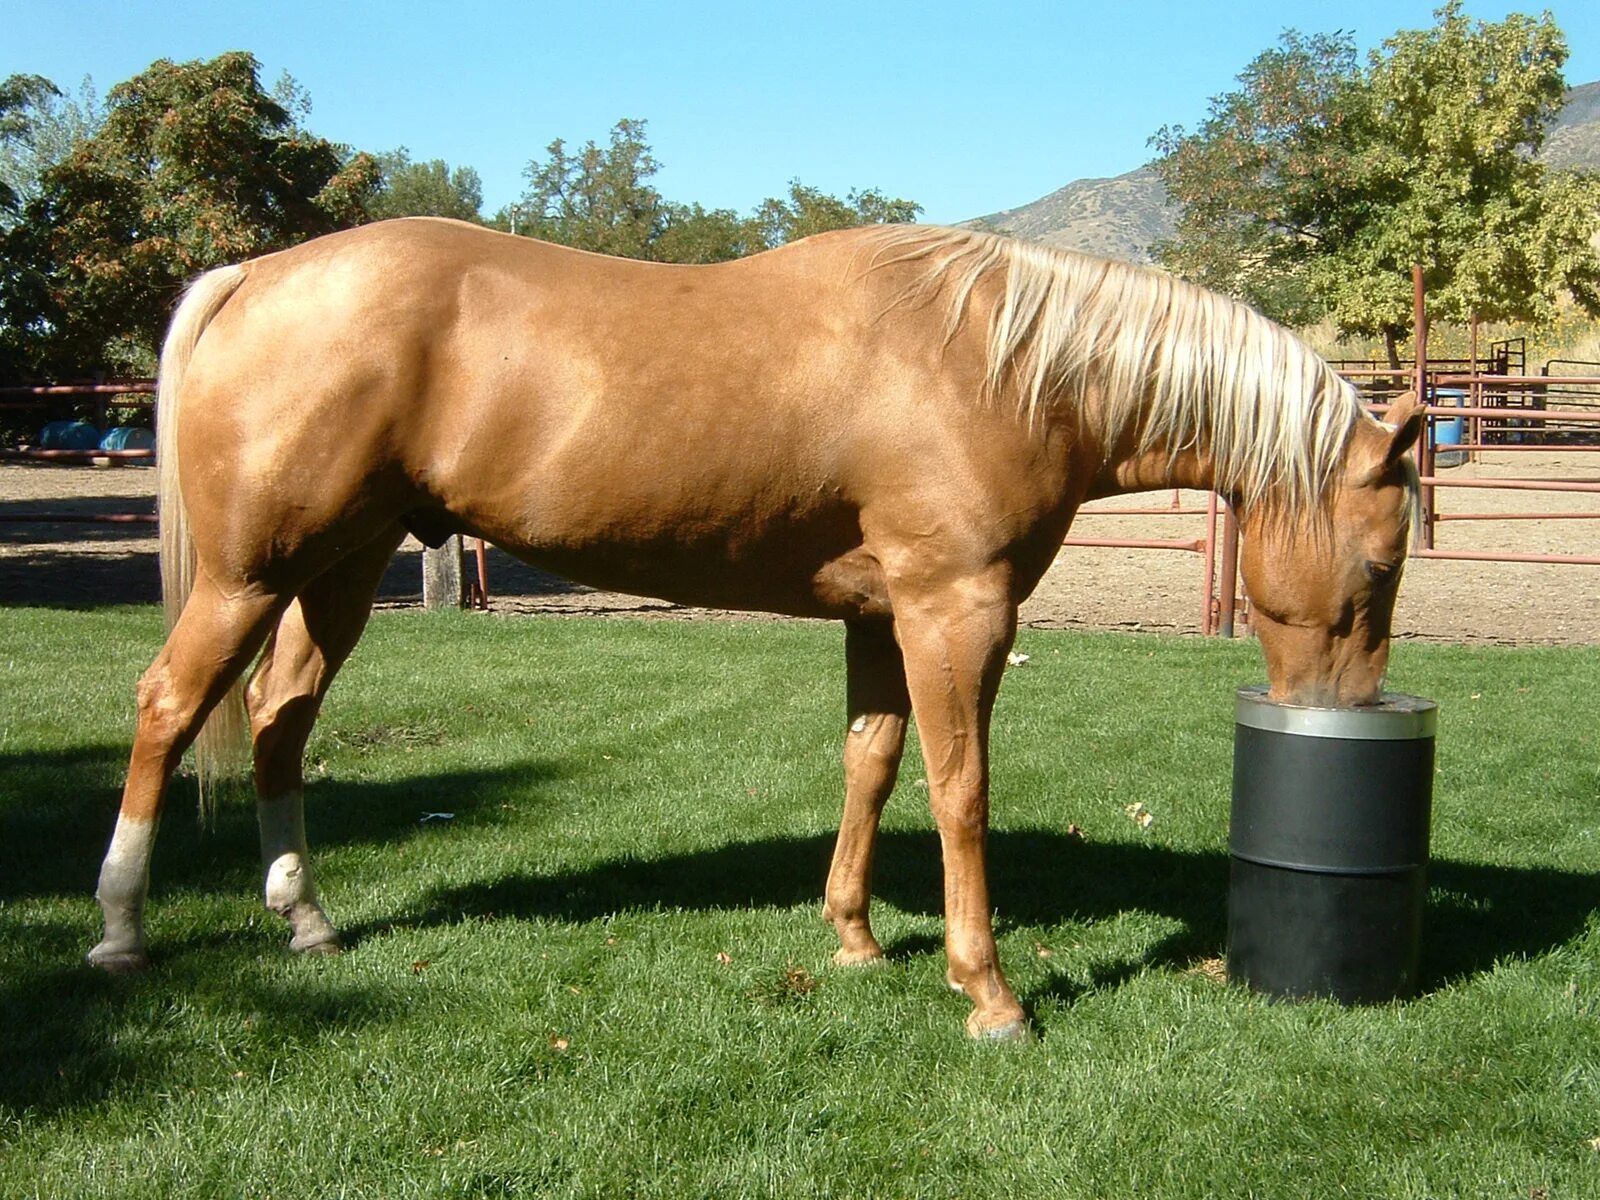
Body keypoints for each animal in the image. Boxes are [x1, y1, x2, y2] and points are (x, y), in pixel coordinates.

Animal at [87, 224, 1420, 1043]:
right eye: (1380, 561)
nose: (1346, 716)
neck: (1002, 363)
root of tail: (256, 273)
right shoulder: (956, 610)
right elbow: (959, 788)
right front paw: (987, 991)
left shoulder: (884, 616)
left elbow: (871, 764)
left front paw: (855, 938)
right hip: (252, 576)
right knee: (168, 707)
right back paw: (120, 931)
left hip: (340, 570)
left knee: (277, 719)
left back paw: (305, 919)